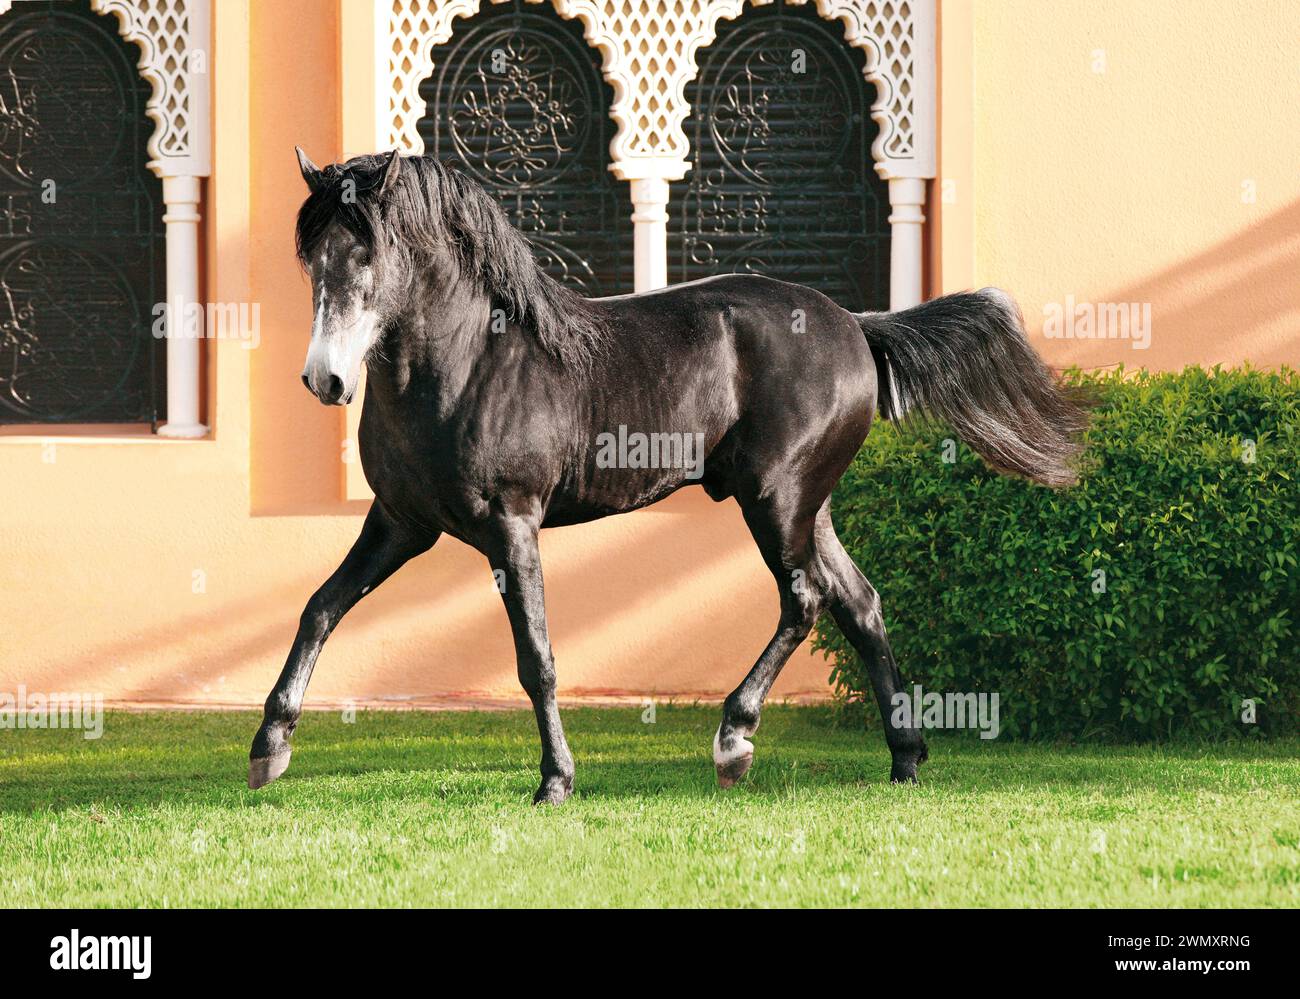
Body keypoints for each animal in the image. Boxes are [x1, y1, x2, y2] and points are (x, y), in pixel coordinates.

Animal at [248, 148, 1086, 804]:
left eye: (366, 253)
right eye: (312, 256)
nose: (324, 379)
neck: (468, 363)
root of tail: (856, 324)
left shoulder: (511, 524)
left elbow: (536, 657)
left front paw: (556, 780)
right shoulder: (402, 523)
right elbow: (319, 608)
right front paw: (268, 748)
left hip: (775, 501)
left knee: (806, 600)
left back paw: (734, 740)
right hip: (809, 508)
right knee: (861, 603)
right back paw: (905, 759)